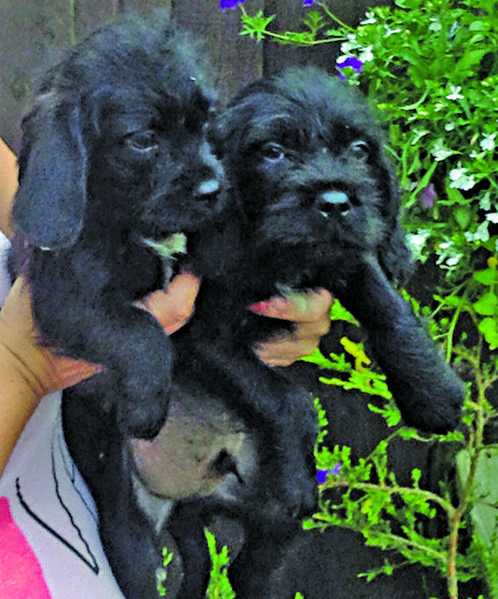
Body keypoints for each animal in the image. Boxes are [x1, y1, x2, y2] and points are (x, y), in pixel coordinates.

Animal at [12, 11, 224, 438]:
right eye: (142, 140)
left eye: (207, 120)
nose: (213, 190)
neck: (131, 225)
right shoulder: (67, 300)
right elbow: (141, 330)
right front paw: (145, 409)